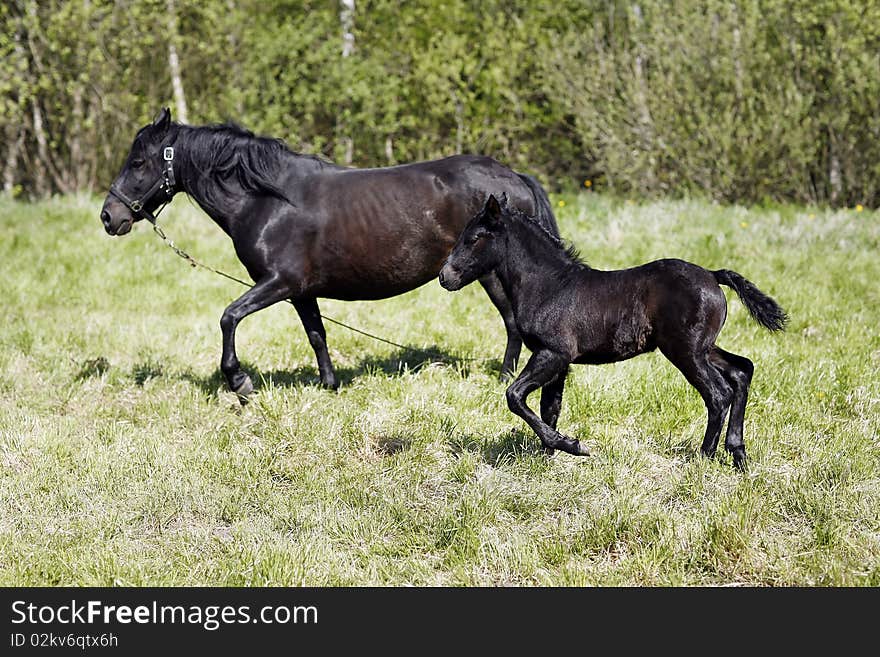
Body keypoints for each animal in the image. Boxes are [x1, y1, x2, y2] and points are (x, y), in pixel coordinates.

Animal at [101, 109, 556, 398]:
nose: (109, 216)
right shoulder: (301, 291)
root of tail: (512, 177)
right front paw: (329, 385)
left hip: (490, 273)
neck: (268, 200)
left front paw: (239, 382)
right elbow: (317, 335)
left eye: (138, 162)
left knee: (512, 323)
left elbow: (229, 317)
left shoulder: (278, 283)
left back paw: (504, 377)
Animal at [436, 193, 788, 466]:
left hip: (685, 351)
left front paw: (572, 446)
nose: (444, 277)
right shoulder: (558, 360)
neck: (549, 285)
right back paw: (738, 454)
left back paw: (704, 457)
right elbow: (550, 406)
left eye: (475, 238)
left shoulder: (552, 353)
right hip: (704, 348)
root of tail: (713, 276)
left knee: (719, 393)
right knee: (742, 371)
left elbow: (515, 395)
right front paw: (549, 455)